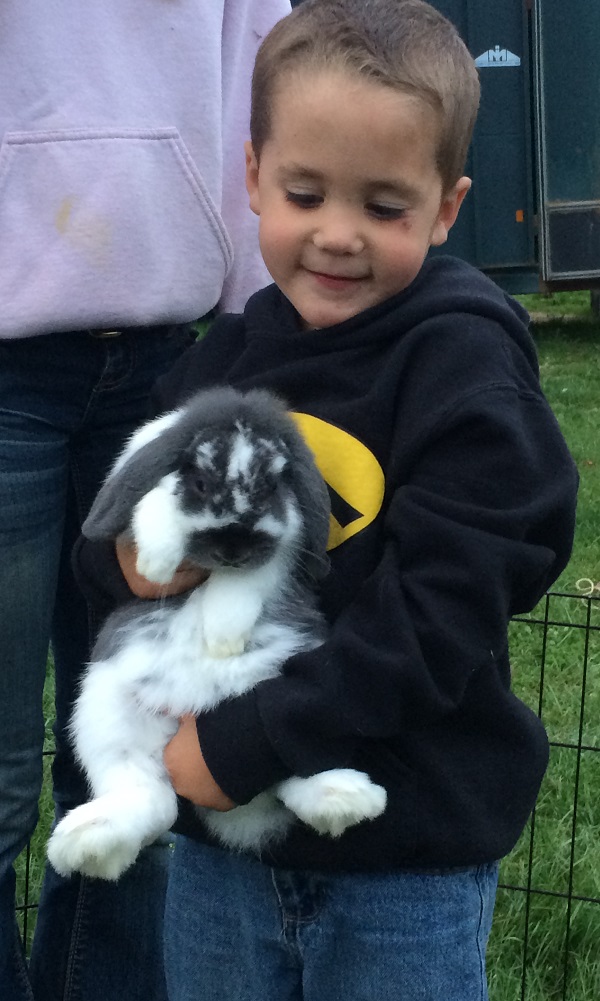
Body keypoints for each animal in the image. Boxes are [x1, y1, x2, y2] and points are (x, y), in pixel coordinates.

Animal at [47, 386, 387, 882]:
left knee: (282, 770)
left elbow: (251, 580)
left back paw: (346, 800)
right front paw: (157, 563)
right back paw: (87, 846)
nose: (232, 548)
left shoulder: (281, 548)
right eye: (201, 483)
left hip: (281, 702)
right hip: (105, 716)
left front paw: (223, 636)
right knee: (153, 800)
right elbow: (154, 508)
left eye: (271, 487)